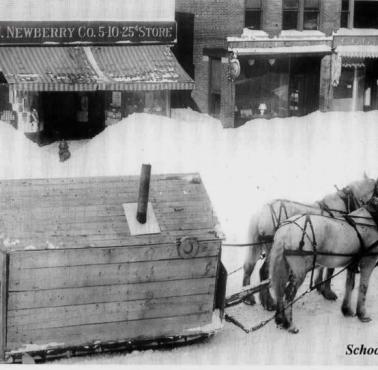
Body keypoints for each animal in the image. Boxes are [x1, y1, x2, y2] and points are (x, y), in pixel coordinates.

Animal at [244, 173, 376, 310]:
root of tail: (261, 213)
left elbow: (322, 267)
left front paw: (320, 286)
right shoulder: (336, 246)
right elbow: (330, 270)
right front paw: (327, 291)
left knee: (249, 267)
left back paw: (249, 298)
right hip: (273, 249)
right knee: (263, 271)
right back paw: (268, 302)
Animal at [268, 198, 378, 334]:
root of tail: (286, 231)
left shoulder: (352, 263)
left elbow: (350, 285)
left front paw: (347, 310)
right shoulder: (368, 261)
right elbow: (363, 287)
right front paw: (362, 314)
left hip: (284, 266)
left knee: (280, 290)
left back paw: (280, 320)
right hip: (299, 271)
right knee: (289, 293)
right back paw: (290, 324)